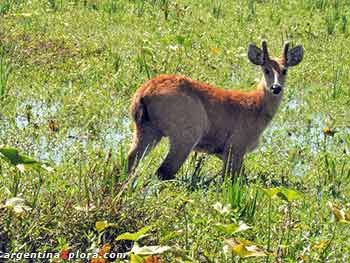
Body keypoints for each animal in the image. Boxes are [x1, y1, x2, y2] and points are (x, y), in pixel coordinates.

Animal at [126, 40, 304, 182]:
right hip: (186, 132)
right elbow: (231, 180)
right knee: (163, 171)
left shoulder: (224, 151)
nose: (276, 87)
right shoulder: (236, 145)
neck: (256, 107)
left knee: (130, 160)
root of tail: (143, 92)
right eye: (266, 69)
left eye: (285, 70)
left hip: (147, 129)